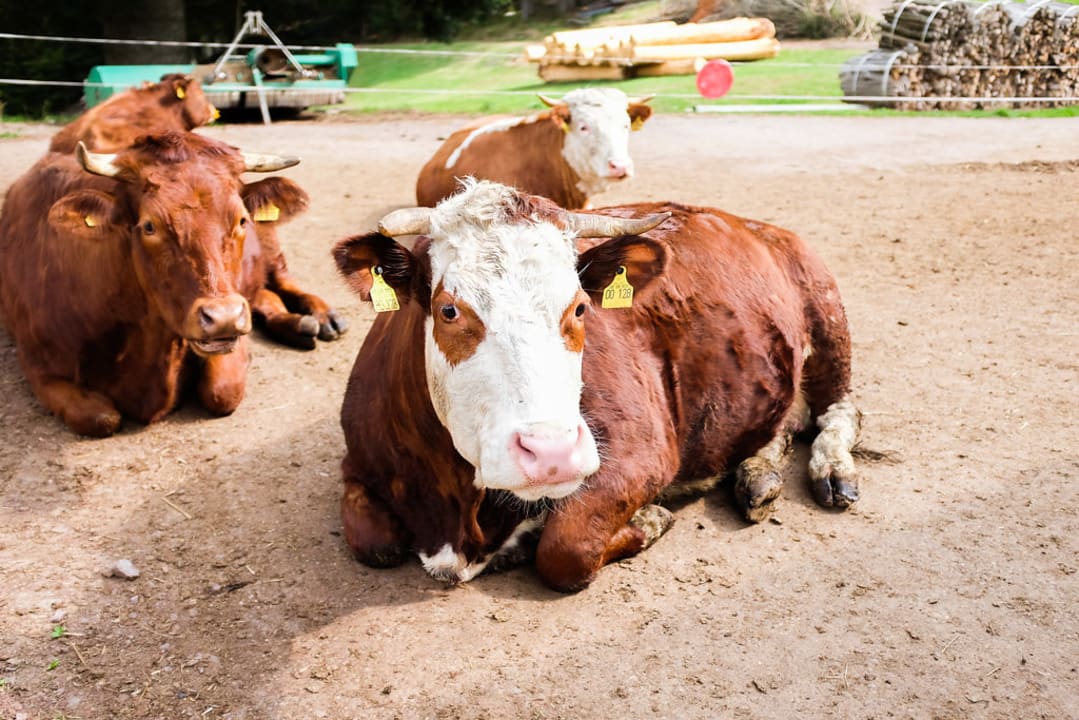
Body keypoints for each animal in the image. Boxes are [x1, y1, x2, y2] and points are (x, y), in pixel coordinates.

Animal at [0, 132, 306, 437]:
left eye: (242, 219)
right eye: (149, 226)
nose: (224, 318)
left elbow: (222, 391)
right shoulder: (38, 365)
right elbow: (101, 417)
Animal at [332, 179, 862, 592]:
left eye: (581, 306)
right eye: (448, 310)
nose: (551, 452)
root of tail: (751, 223)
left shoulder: (641, 454)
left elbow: (566, 547)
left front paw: (648, 518)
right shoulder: (359, 463)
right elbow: (372, 542)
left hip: (825, 309)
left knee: (840, 411)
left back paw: (832, 470)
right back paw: (758, 473)